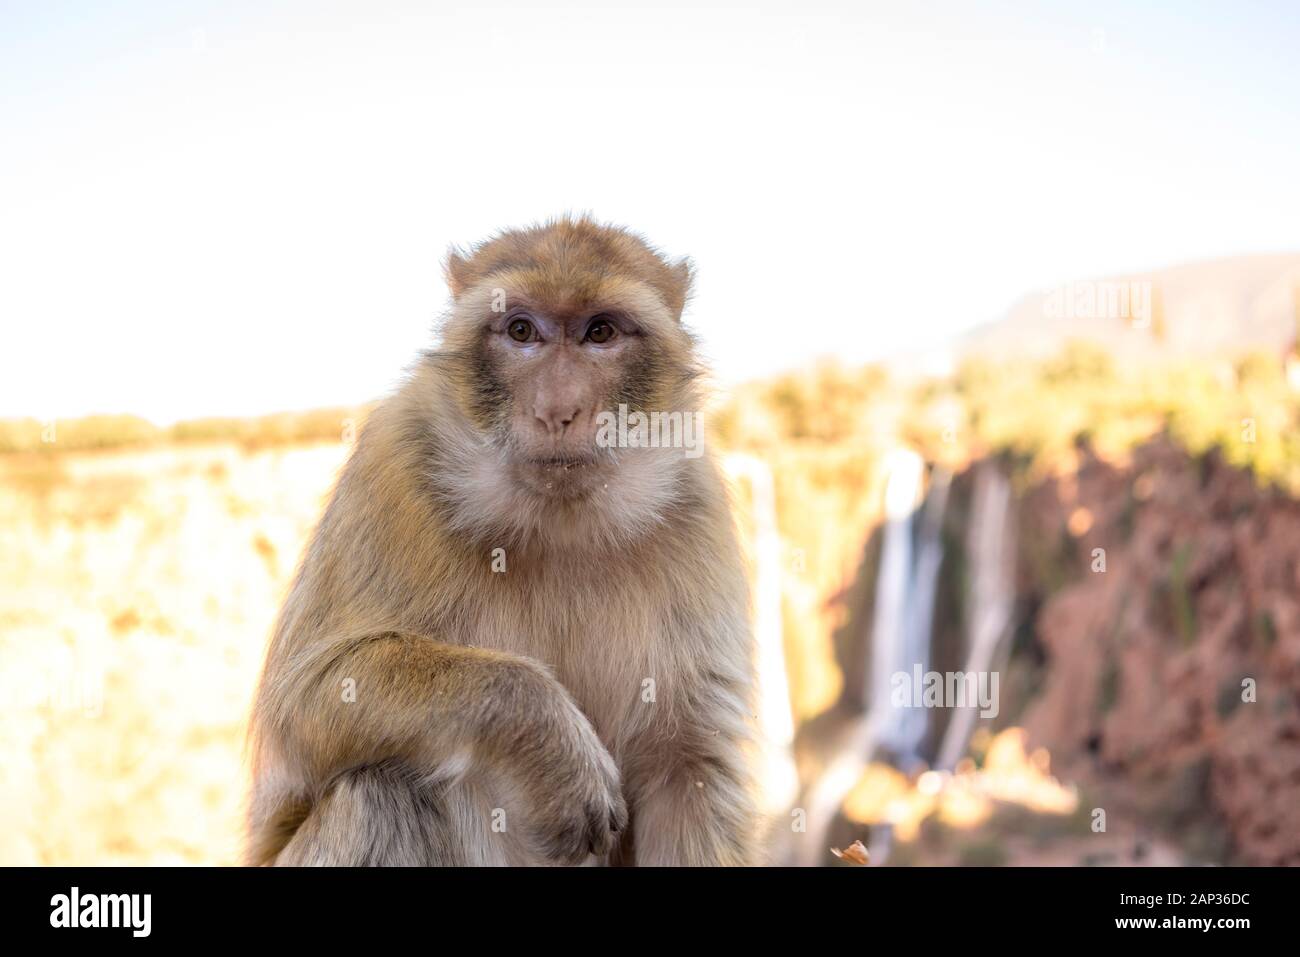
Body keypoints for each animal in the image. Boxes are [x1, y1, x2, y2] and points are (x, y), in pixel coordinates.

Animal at [245, 216, 759, 866]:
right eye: (520, 331)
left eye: (600, 332)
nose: (557, 409)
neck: (561, 521)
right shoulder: (393, 462)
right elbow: (304, 700)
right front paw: (547, 735)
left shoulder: (697, 508)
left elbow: (688, 766)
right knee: (382, 792)